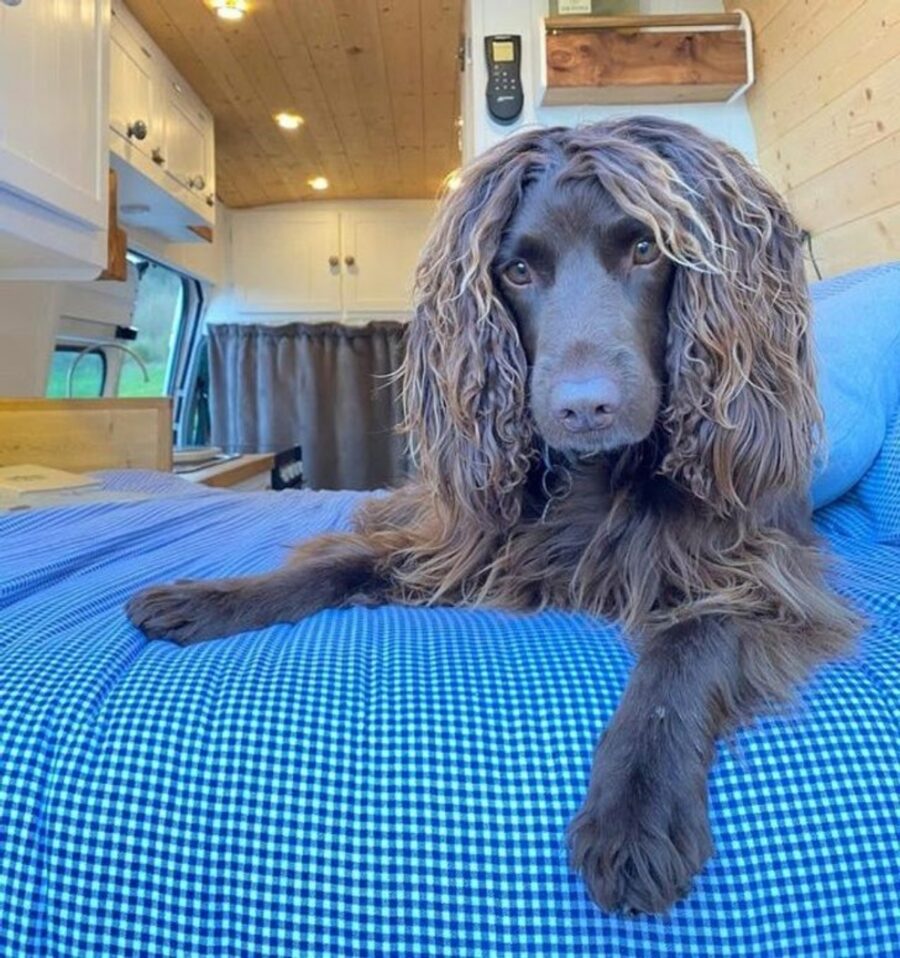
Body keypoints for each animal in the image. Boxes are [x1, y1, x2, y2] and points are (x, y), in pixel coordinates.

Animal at [130, 118, 860, 916]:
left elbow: (689, 648)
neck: (598, 478)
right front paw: (211, 597)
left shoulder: (765, 576)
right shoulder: (467, 544)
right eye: (515, 271)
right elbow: (339, 563)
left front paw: (636, 807)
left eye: (645, 249)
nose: (583, 407)